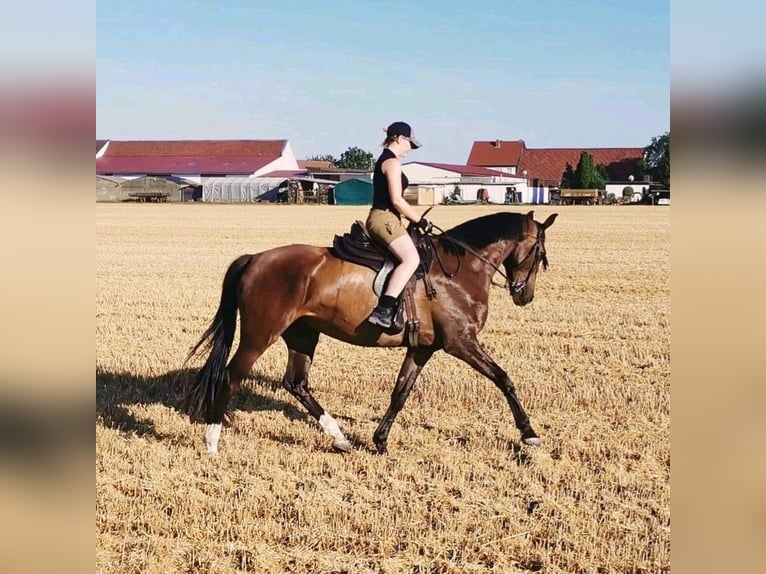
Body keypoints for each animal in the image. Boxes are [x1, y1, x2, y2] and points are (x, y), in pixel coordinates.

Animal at [184, 209, 560, 456]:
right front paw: (529, 433)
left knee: (296, 383)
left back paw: (339, 438)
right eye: (540, 253)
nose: (524, 296)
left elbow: (400, 393)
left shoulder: (423, 348)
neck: (460, 269)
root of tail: (255, 258)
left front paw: (380, 440)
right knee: (232, 377)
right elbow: (504, 378)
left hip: (302, 334)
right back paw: (212, 441)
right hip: (260, 335)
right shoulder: (461, 343)